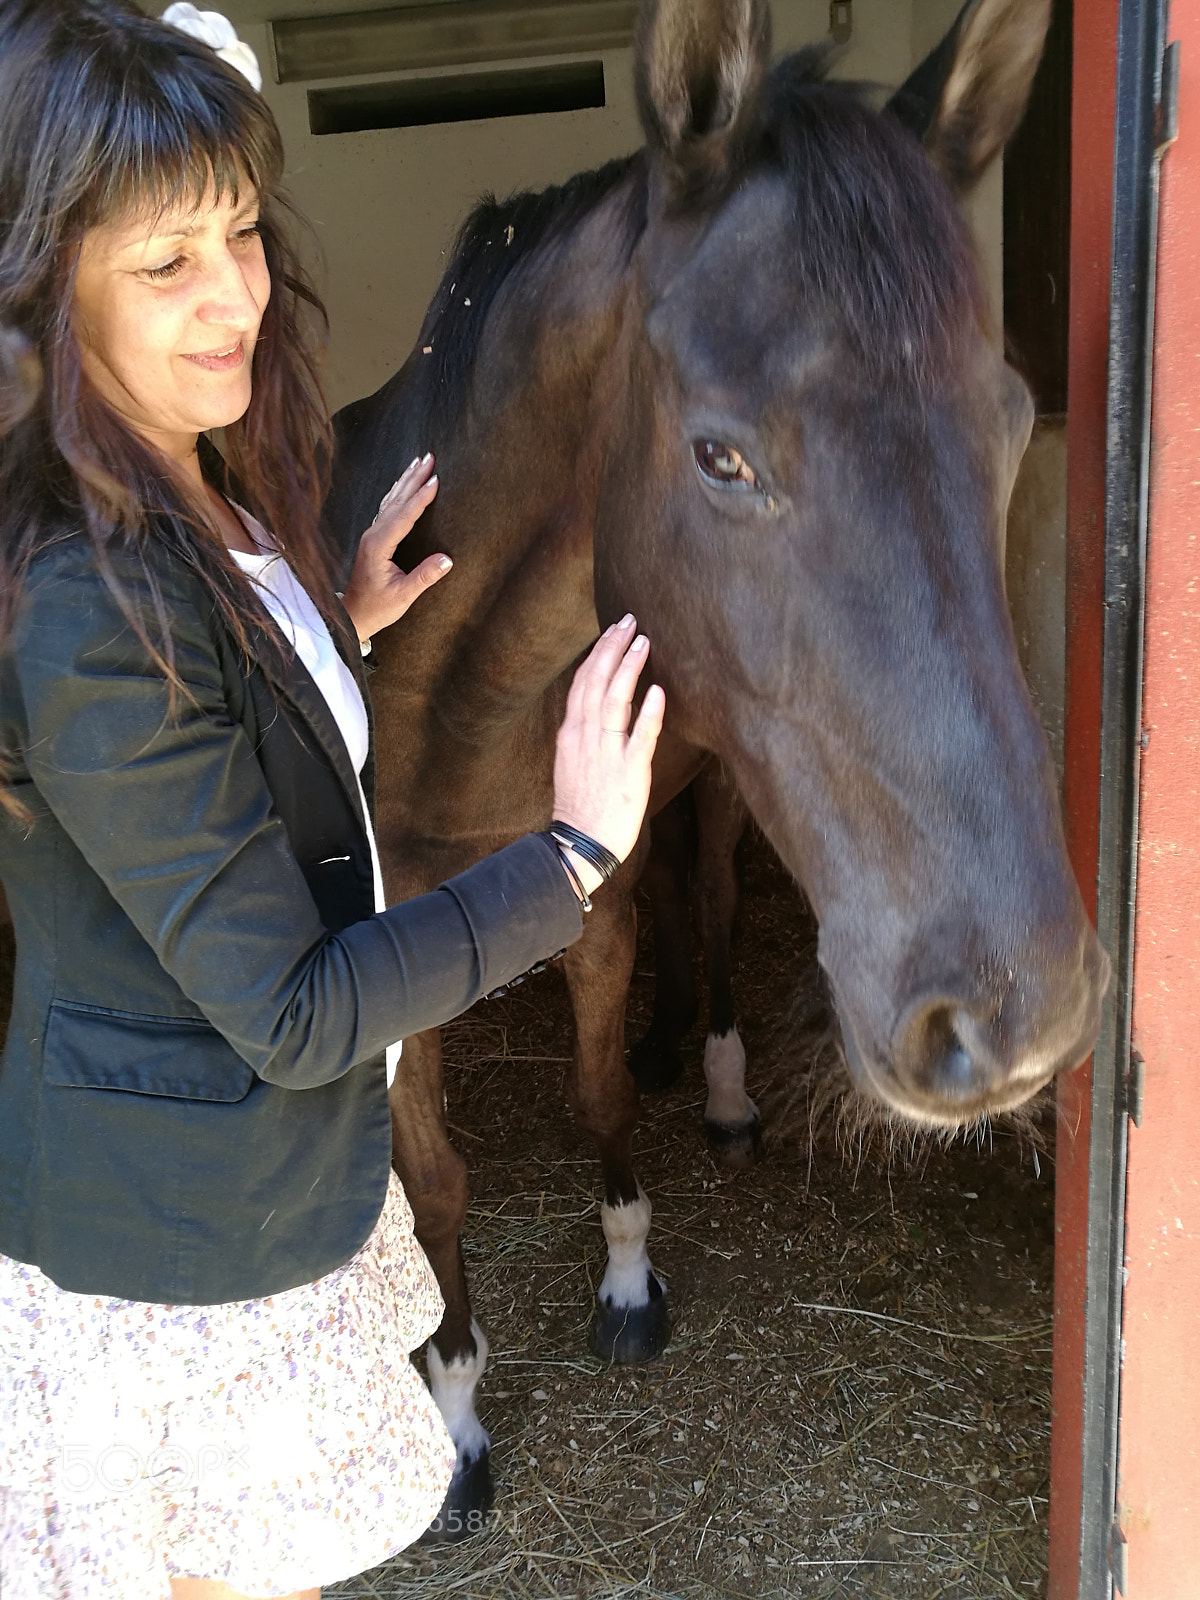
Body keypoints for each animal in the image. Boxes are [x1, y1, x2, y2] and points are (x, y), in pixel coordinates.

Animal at [324, 0, 1108, 1536]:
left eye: (1007, 424)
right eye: (720, 457)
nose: (1015, 1019)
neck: (446, 691)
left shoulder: (590, 895)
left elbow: (599, 1096)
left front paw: (630, 1273)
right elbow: (436, 1181)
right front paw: (456, 1411)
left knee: (710, 894)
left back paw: (726, 1078)